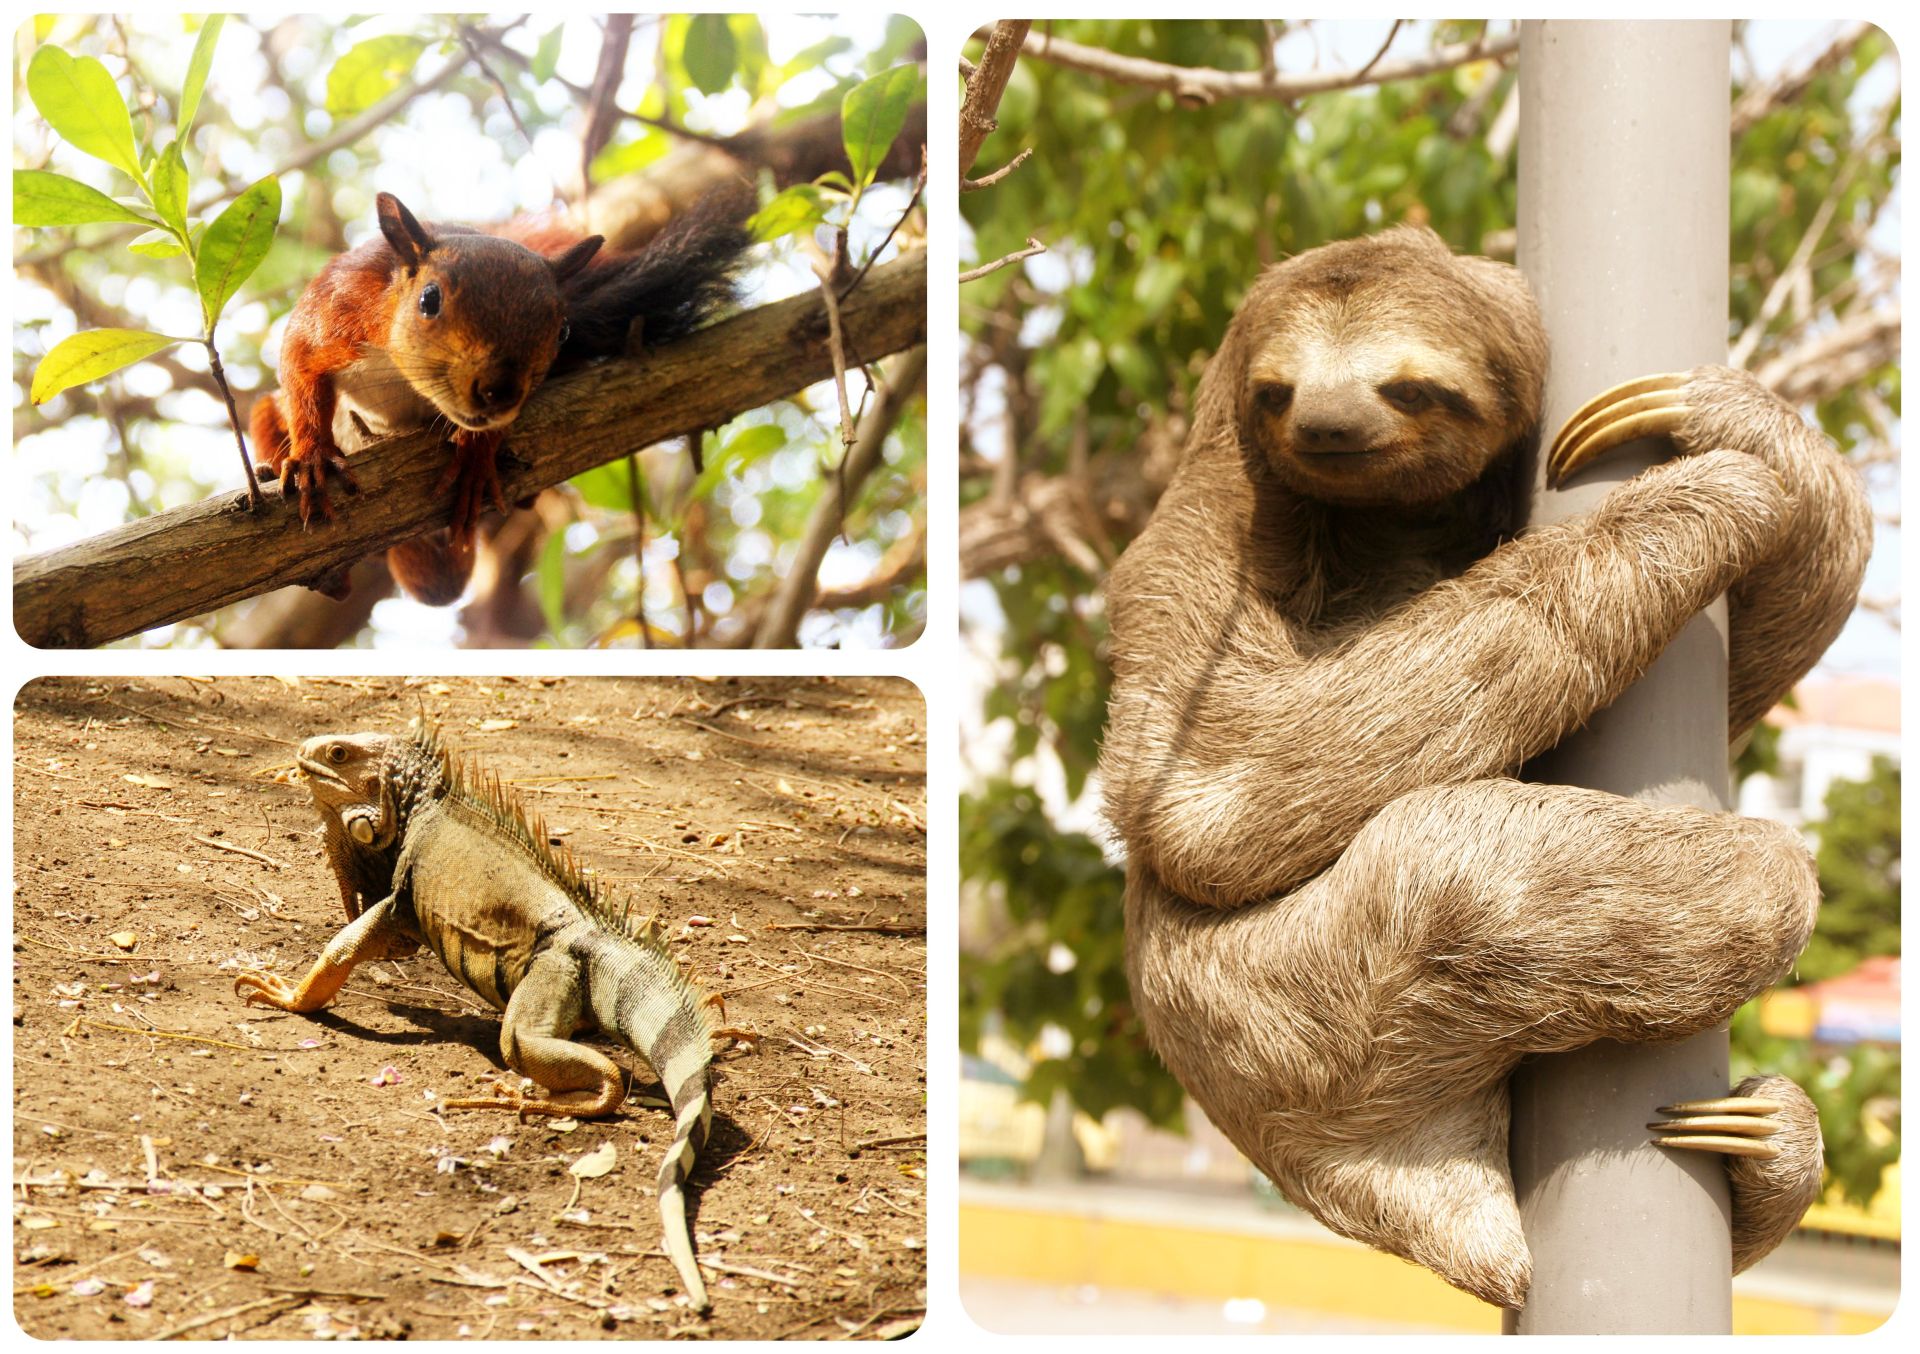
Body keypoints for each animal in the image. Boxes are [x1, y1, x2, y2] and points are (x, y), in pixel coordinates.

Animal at [259, 186, 752, 603]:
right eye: (429, 300)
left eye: (563, 330)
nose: (499, 391)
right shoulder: (340, 304)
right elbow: (299, 364)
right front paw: (312, 456)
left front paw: (477, 457)